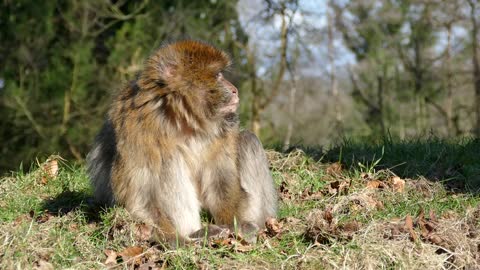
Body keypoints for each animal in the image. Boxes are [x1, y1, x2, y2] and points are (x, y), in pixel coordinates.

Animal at [86, 39, 278, 245]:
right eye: (218, 76)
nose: (235, 89)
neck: (184, 120)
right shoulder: (138, 128)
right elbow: (140, 194)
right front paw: (173, 239)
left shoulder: (224, 128)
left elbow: (221, 178)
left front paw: (236, 224)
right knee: (169, 163)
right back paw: (194, 233)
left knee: (249, 140)